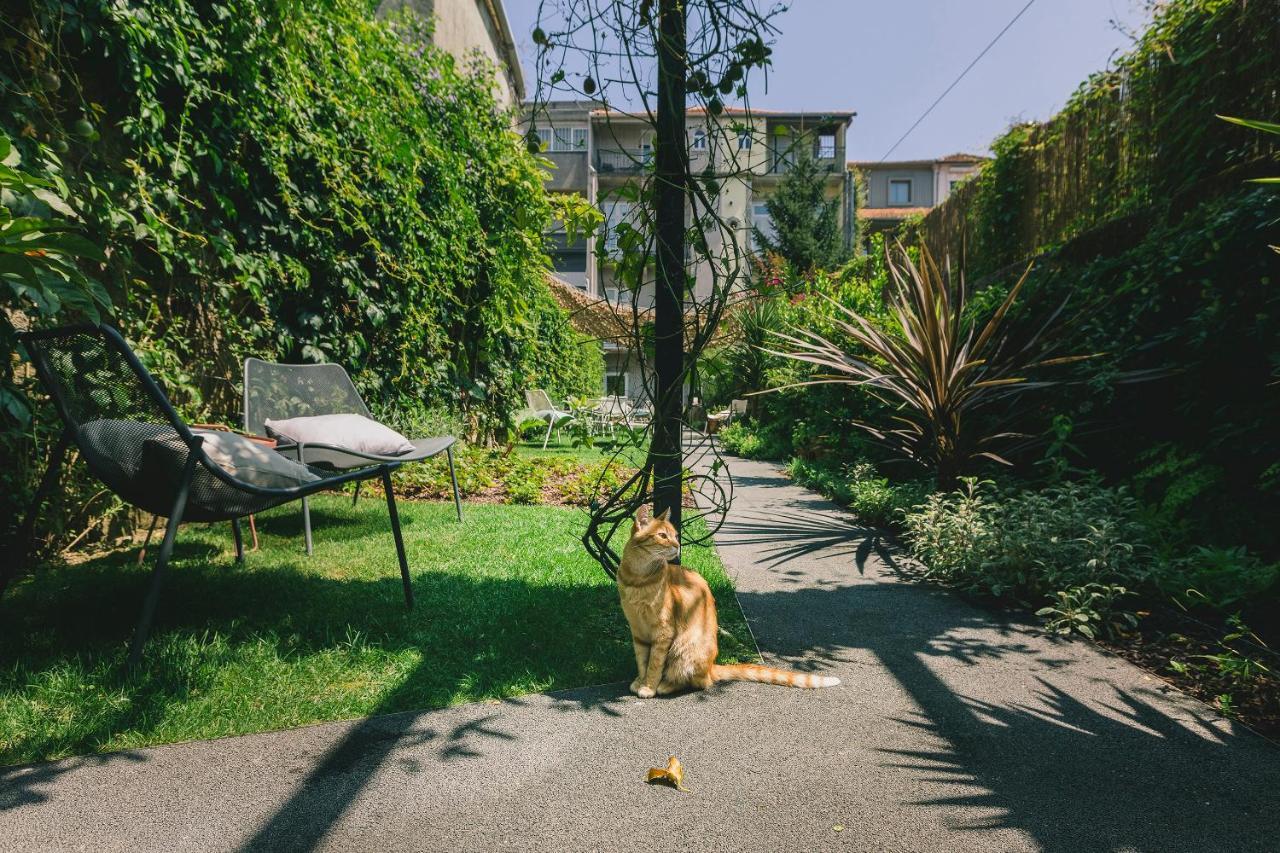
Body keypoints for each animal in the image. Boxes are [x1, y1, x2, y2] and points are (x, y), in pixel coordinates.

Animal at [616, 502, 839, 696]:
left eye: (676, 536)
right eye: (663, 535)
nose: (678, 545)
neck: (638, 579)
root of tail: (711, 667)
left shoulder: (663, 632)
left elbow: (654, 663)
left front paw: (649, 687)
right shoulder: (637, 630)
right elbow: (642, 661)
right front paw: (640, 680)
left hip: (684, 649)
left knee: (699, 682)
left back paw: (666, 685)